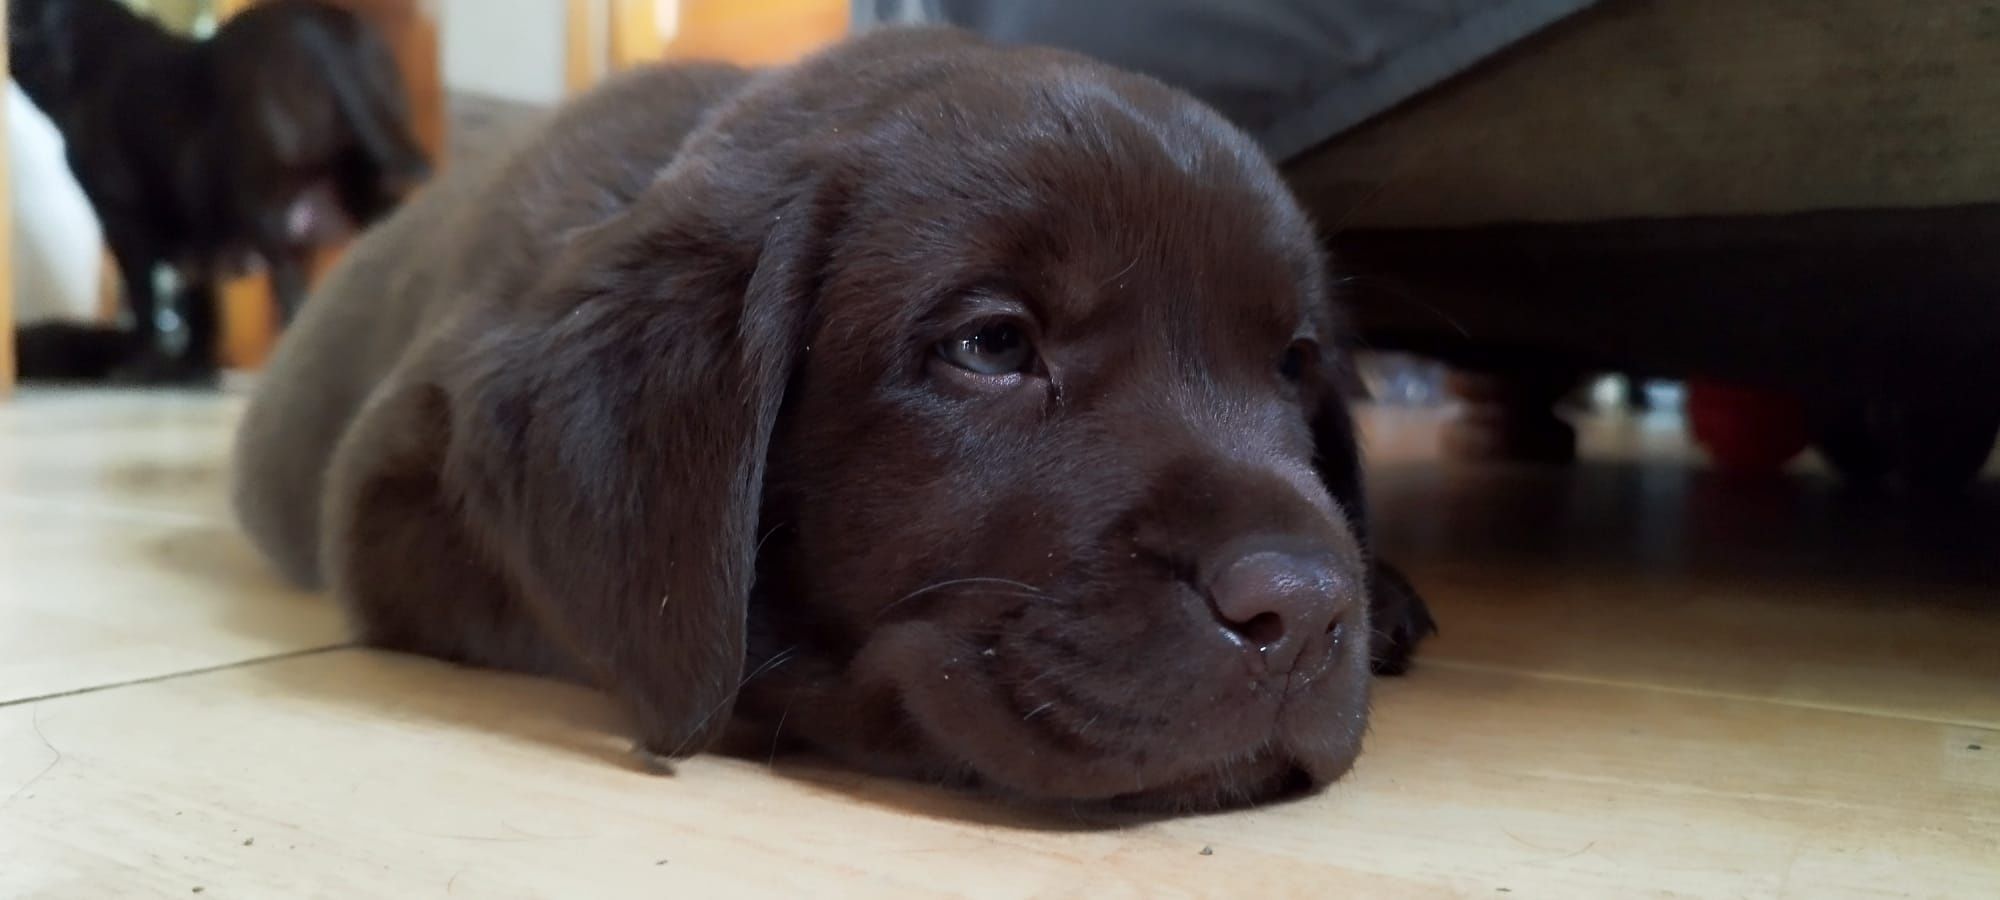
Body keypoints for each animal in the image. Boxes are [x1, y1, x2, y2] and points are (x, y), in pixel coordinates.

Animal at [8, 0, 430, 384]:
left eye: (14, 20)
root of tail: (314, 28)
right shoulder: (195, 239)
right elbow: (201, 310)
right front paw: (191, 372)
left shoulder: (124, 224)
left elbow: (146, 305)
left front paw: (140, 369)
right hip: (362, 202)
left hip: (265, 215)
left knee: (292, 297)